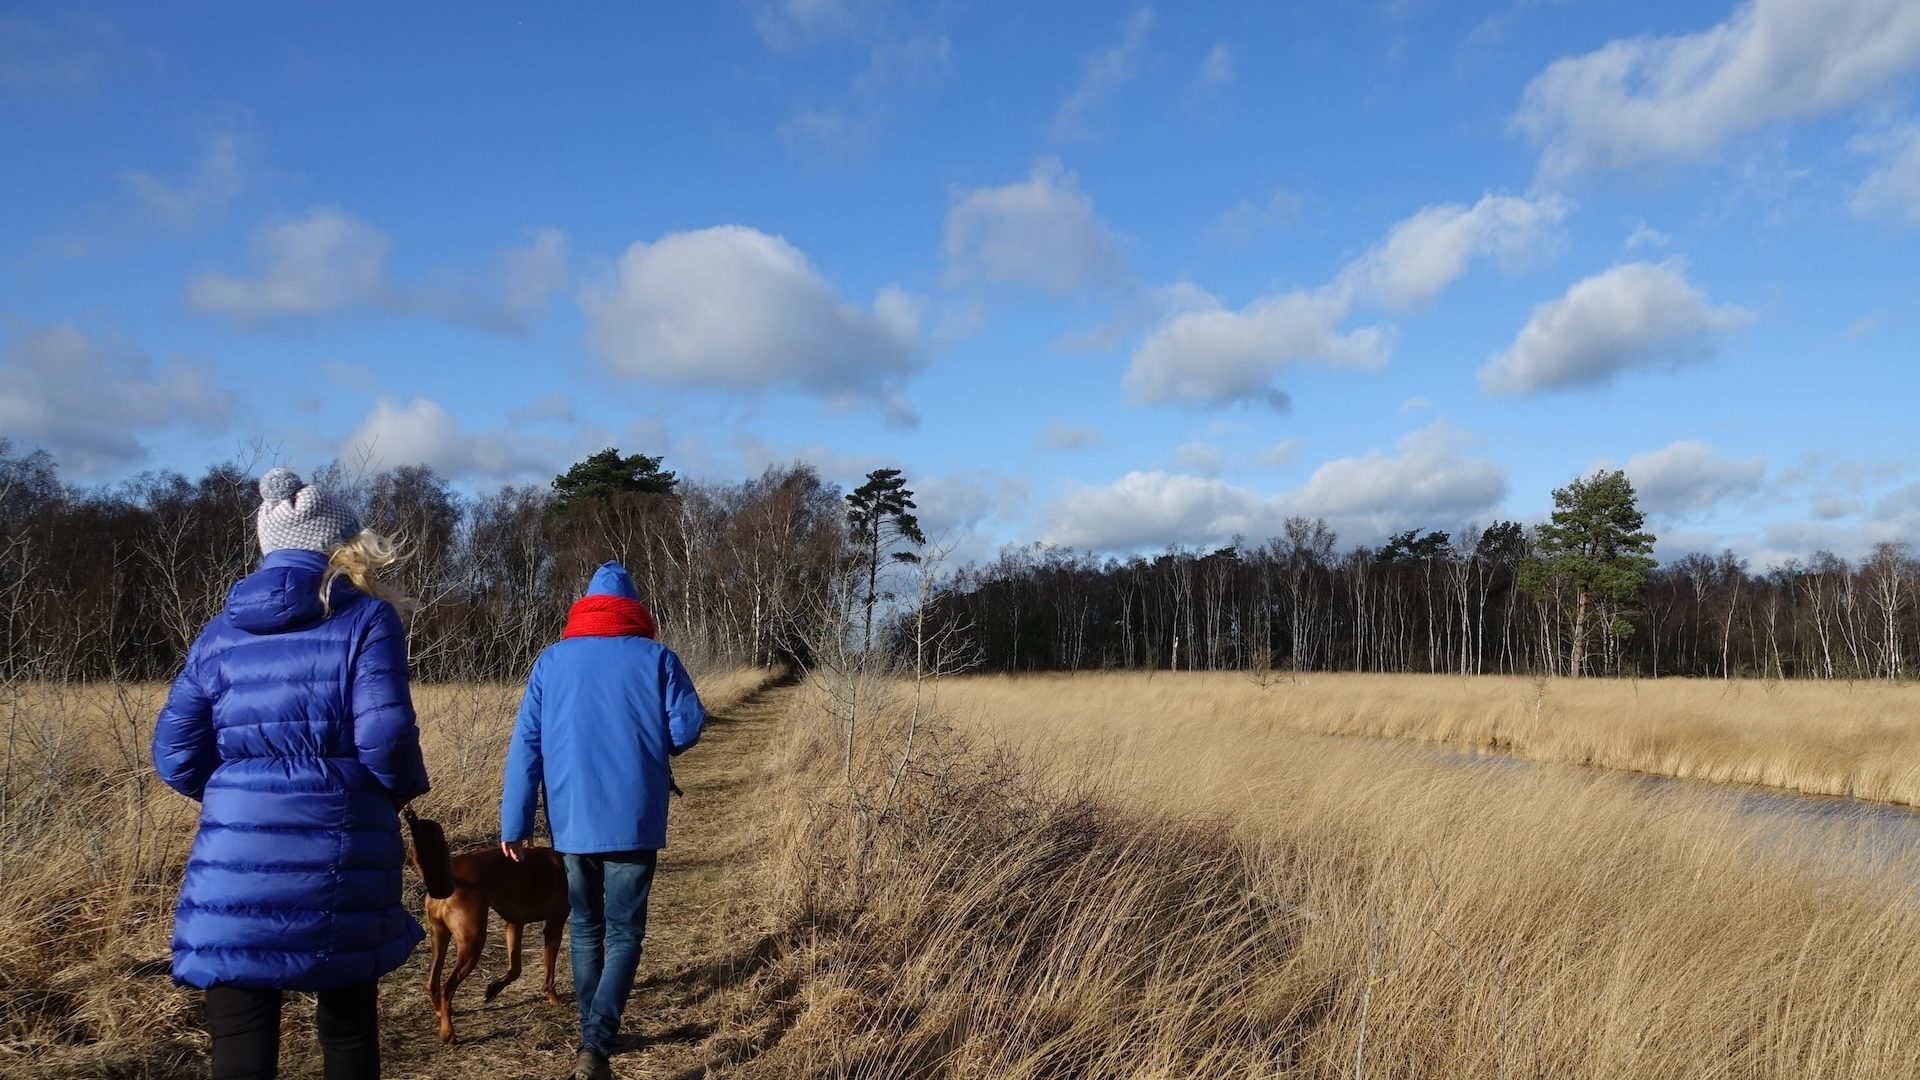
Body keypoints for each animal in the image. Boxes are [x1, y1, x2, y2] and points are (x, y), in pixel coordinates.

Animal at [420, 841, 568, 1037]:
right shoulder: (554, 925)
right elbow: (549, 971)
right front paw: (553, 997)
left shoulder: (513, 924)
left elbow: (515, 969)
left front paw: (494, 988)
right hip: (473, 942)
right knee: (447, 987)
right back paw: (447, 1031)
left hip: (439, 937)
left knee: (433, 982)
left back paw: (441, 1012)